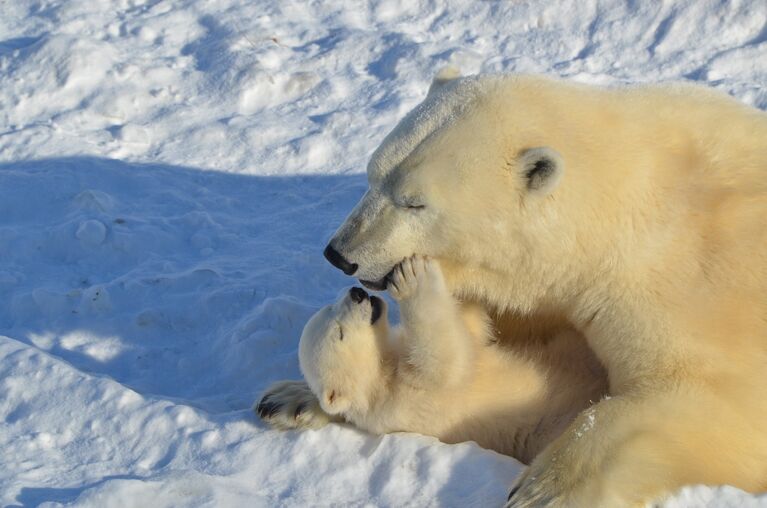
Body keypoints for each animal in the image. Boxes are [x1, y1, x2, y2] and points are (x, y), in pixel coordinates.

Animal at [260, 258, 608, 464]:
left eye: (331, 308)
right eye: (340, 333)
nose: (356, 294)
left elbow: (471, 331)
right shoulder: (407, 397)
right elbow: (446, 360)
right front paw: (413, 276)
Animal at [320, 72, 767, 508]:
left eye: (414, 202)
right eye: (372, 173)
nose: (339, 254)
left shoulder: (690, 291)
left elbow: (713, 401)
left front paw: (540, 490)